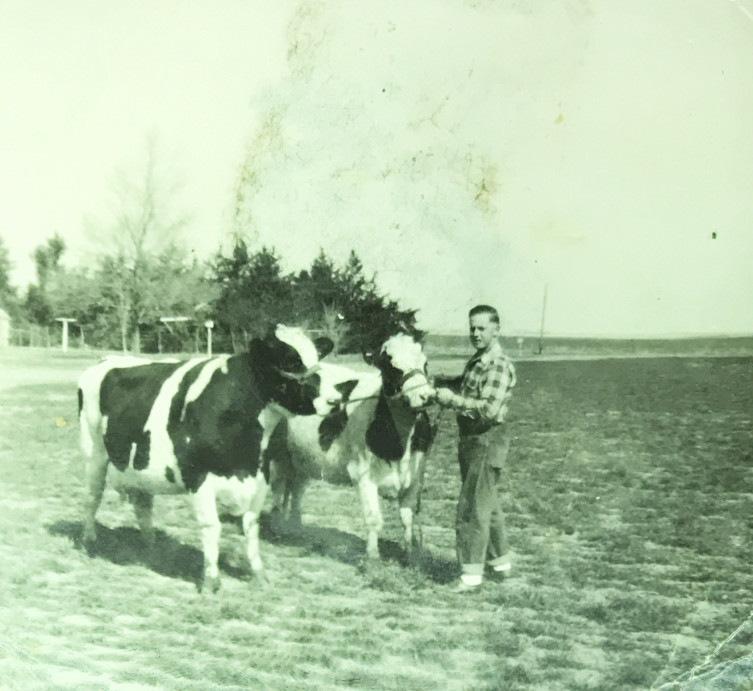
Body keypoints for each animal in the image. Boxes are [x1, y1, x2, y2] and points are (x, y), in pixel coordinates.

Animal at [77, 324, 344, 588]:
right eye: (290, 361)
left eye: (317, 358)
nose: (335, 400)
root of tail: (108, 359)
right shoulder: (197, 476)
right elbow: (212, 526)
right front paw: (211, 580)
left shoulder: (261, 475)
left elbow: (251, 526)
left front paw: (259, 574)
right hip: (94, 452)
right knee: (92, 496)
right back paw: (89, 540)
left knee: (143, 504)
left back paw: (151, 546)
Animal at [268, 334, 434, 564]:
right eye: (390, 366)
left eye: (425, 364)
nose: (427, 396)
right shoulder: (362, 474)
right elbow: (373, 518)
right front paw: (373, 557)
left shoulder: (415, 477)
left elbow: (407, 519)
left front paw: (410, 556)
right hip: (278, 452)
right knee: (278, 486)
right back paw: (277, 527)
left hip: (303, 457)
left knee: (296, 488)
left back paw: (296, 526)